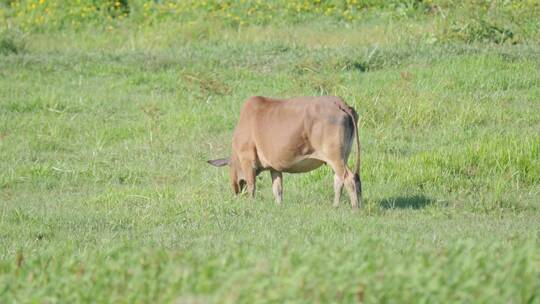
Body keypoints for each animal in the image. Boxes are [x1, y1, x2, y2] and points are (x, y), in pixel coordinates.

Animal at [207, 95, 362, 209]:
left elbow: (252, 186)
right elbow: (277, 189)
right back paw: (337, 206)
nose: (235, 191)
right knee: (340, 180)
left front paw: (251, 204)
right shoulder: (274, 167)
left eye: (230, 167)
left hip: (334, 157)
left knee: (348, 178)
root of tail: (339, 102)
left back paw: (354, 208)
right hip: (341, 157)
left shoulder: (247, 160)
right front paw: (278, 206)